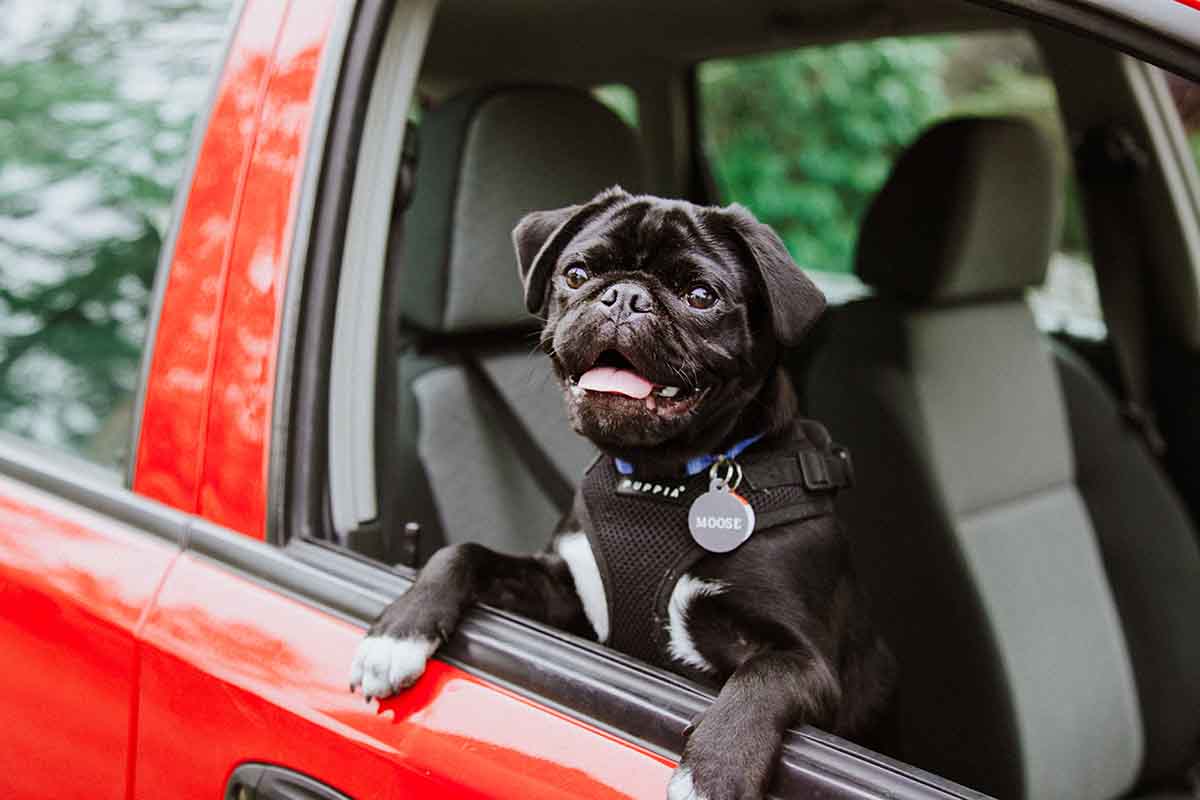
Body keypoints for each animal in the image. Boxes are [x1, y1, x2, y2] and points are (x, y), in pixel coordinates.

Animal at [350, 189, 892, 800]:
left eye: (701, 296)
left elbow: (763, 677)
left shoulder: (807, 659)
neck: (662, 479)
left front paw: (712, 773)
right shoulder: (566, 595)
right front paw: (399, 630)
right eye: (577, 274)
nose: (625, 295)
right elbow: (461, 553)